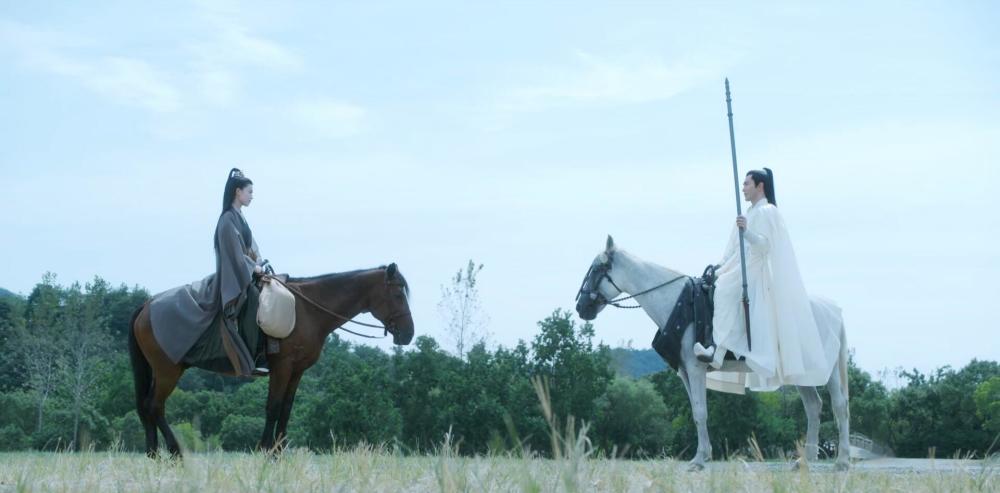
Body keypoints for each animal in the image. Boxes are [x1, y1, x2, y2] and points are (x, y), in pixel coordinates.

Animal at [126, 264, 414, 456]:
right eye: (398, 294)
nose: (408, 334)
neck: (308, 310)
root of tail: (146, 305)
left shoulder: (297, 371)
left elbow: (286, 409)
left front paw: (279, 452)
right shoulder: (282, 367)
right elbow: (273, 407)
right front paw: (265, 451)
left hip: (161, 371)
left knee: (148, 407)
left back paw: (154, 454)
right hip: (168, 371)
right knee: (154, 406)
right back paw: (174, 453)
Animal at [576, 236, 848, 470]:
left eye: (596, 269)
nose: (581, 308)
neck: (677, 303)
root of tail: (833, 311)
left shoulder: (696, 368)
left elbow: (700, 412)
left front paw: (699, 460)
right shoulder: (685, 371)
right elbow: (696, 412)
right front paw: (702, 456)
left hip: (829, 372)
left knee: (839, 405)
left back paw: (842, 461)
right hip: (802, 373)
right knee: (813, 406)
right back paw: (804, 461)